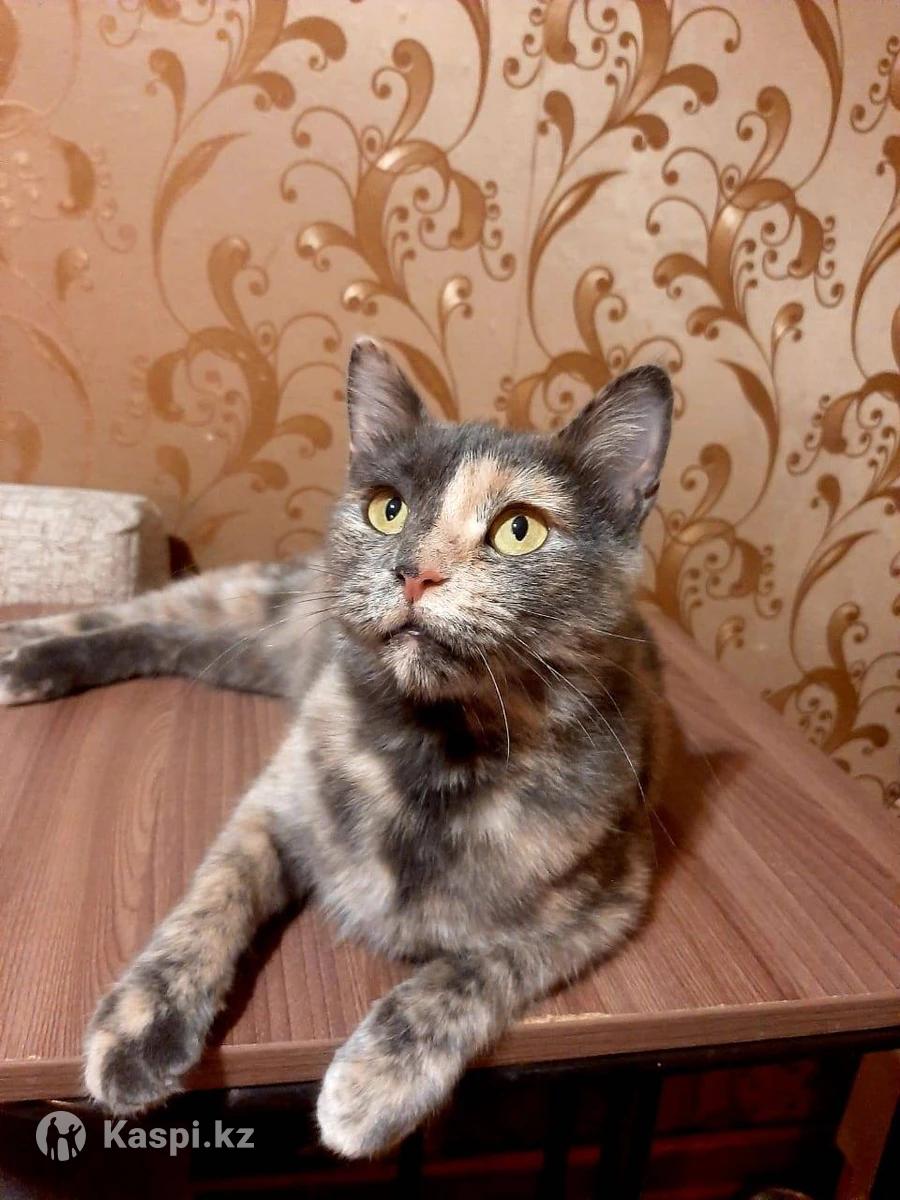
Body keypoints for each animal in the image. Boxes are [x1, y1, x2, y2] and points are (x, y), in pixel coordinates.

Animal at [0, 338, 672, 1158]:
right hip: (257, 606)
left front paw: (373, 1084)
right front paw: (138, 1028)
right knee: (140, 610)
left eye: (521, 530)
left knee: (167, 639)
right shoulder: (274, 805)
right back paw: (24, 646)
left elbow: (468, 972)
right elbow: (209, 901)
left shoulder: (606, 904)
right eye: (388, 508)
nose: (413, 571)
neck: (432, 752)